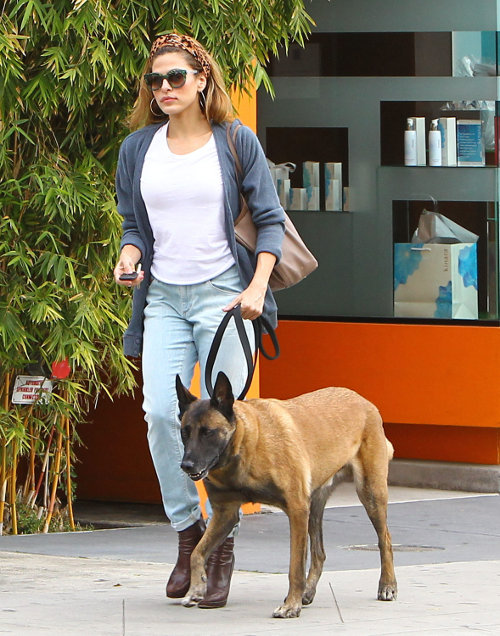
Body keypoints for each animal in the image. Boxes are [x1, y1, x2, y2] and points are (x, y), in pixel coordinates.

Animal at [176, 372, 398, 616]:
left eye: (208, 432)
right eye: (184, 432)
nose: (186, 465)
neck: (246, 444)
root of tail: (363, 401)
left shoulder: (297, 509)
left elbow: (295, 566)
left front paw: (291, 605)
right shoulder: (225, 514)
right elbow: (196, 552)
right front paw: (196, 588)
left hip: (370, 494)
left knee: (385, 540)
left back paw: (387, 585)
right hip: (315, 507)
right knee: (319, 553)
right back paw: (307, 592)